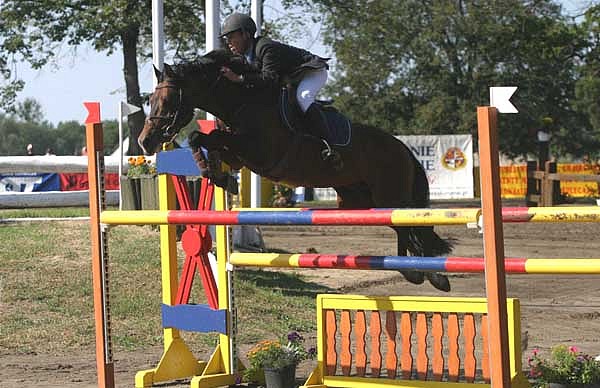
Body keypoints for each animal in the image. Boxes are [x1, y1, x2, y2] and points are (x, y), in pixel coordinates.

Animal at [138, 48, 452, 292]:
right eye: (150, 101)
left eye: (167, 101)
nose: (145, 141)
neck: (242, 102)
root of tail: (402, 148)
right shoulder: (239, 155)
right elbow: (201, 139)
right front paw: (217, 175)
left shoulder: (259, 152)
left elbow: (205, 136)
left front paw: (216, 174)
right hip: (362, 200)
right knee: (404, 227)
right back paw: (419, 273)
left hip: (391, 194)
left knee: (411, 225)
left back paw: (428, 275)